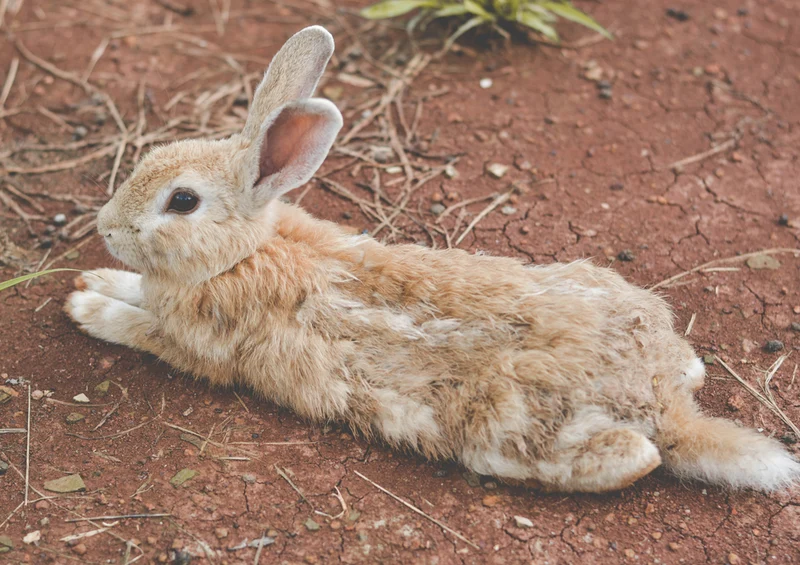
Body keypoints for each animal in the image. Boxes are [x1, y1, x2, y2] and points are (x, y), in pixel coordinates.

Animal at [65, 25, 800, 493]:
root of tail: (662, 403)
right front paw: (96, 278)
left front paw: (85, 304)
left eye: (182, 201)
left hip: (511, 434)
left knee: (634, 458)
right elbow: (135, 289)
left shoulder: (196, 345)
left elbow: (136, 326)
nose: (106, 227)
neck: (241, 252)